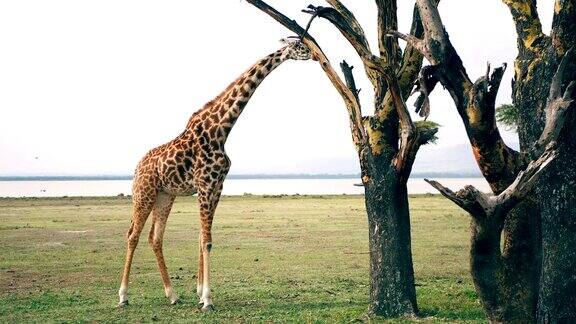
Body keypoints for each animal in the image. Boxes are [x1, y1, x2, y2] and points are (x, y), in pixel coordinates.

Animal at [117, 38, 312, 312]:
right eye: (299, 46)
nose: (315, 55)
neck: (221, 129)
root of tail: (137, 167)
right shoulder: (206, 184)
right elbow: (207, 240)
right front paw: (207, 299)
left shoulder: (217, 186)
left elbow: (202, 237)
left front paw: (200, 292)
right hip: (144, 193)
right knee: (132, 235)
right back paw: (123, 295)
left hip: (165, 195)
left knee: (155, 238)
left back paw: (172, 294)